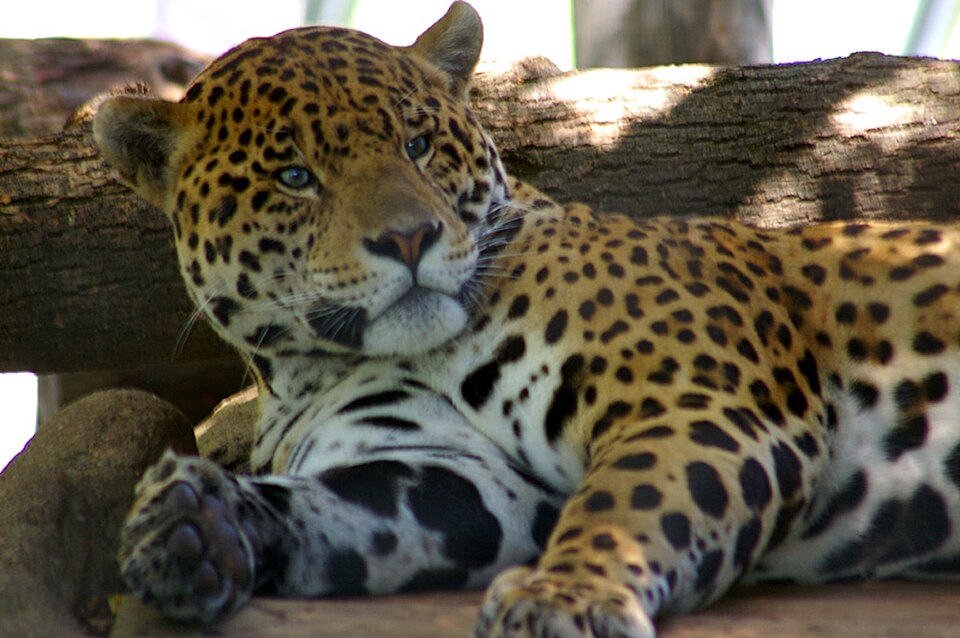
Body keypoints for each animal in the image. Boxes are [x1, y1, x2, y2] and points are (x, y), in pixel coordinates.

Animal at [92, 2, 960, 636]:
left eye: (418, 144)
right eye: (294, 177)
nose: (409, 238)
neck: (321, 366)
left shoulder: (700, 402)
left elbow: (624, 503)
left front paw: (564, 598)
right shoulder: (464, 476)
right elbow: (338, 508)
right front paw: (196, 527)